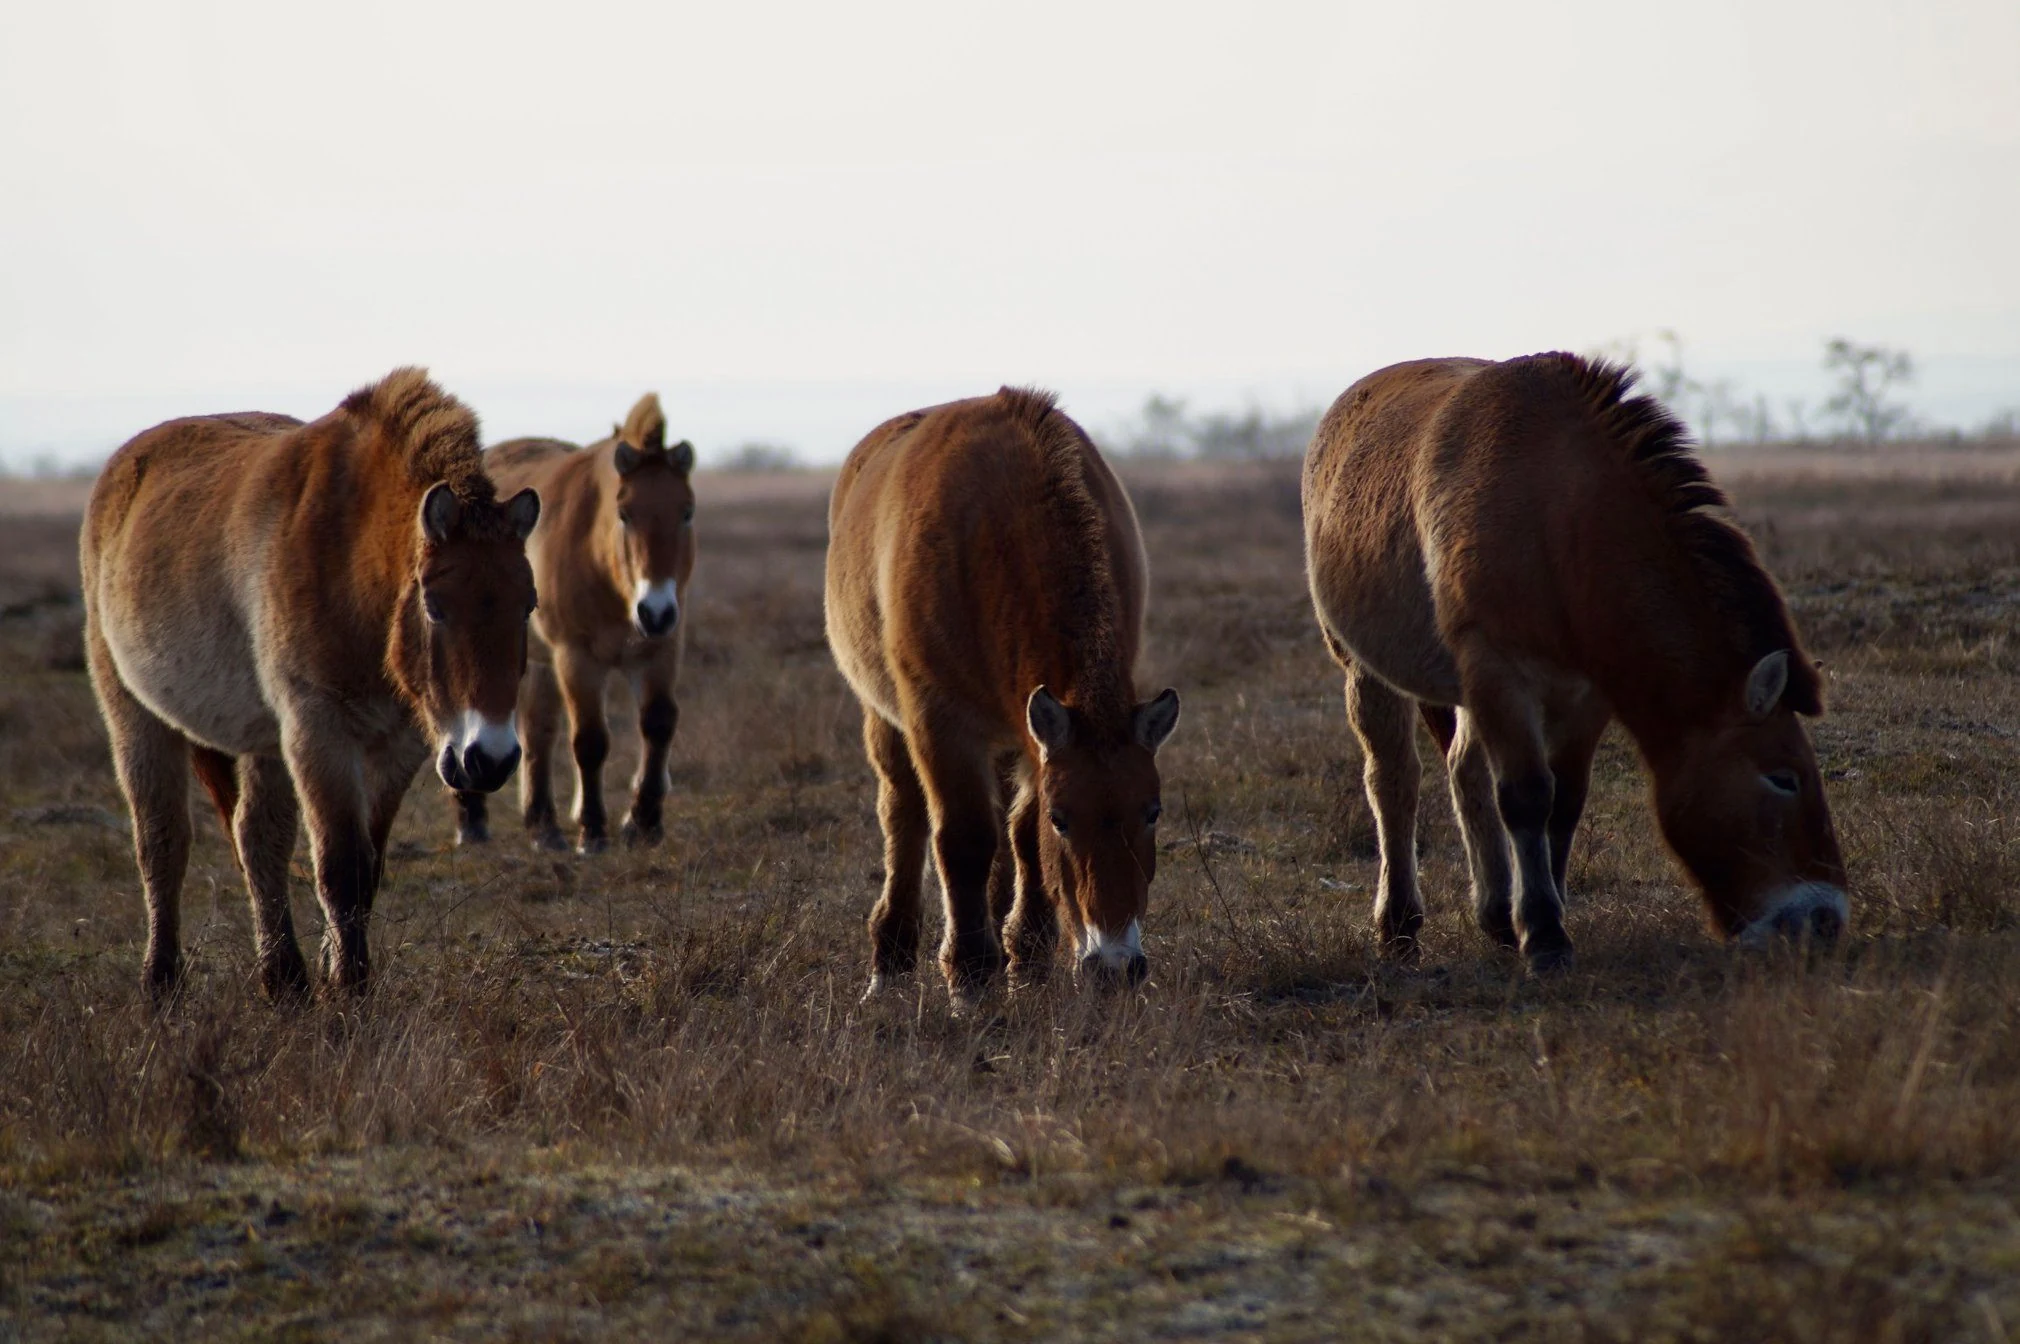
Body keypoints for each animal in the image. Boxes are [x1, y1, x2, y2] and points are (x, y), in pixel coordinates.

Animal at [81, 369, 540, 1002]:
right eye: (436, 606)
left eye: (529, 606)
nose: (488, 760)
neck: (352, 564)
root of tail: (125, 464)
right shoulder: (319, 733)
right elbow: (340, 868)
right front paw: (349, 993)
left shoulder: (398, 747)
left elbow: (366, 867)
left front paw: (332, 974)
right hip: (135, 716)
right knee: (162, 843)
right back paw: (162, 983)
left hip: (264, 741)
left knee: (257, 842)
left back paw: (284, 979)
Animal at [452, 394, 697, 853]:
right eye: (624, 514)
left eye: (687, 512)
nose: (655, 611)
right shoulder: (576, 657)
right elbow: (590, 740)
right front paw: (593, 831)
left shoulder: (660, 649)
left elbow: (658, 723)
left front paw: (643, 823)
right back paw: (471, 821)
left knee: (537, 733)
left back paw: (543, 828)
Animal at [825, 387, 1181, 1009]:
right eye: (1064, 820)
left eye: (1153, 811)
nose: (1116, 966)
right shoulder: (941, 726)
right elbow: (964, 839)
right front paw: (969, 978)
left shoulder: (1033, 737)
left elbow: (1020, 839)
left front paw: (1025, 960)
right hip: (887, 722)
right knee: (904, 814)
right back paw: (890, 962)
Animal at [1302, 354, 1846, 972]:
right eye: (1784, 778)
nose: (1823, 918)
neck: (1556, 517)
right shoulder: (1499, 671)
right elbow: (1526, 796)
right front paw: (1543, 936)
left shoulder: (1587, 693)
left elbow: (1563, 801)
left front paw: (1545, 913)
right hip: (1365, 670)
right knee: (1394, 780)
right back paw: (1399, 924)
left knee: (1465, 770)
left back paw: (1496, 914)